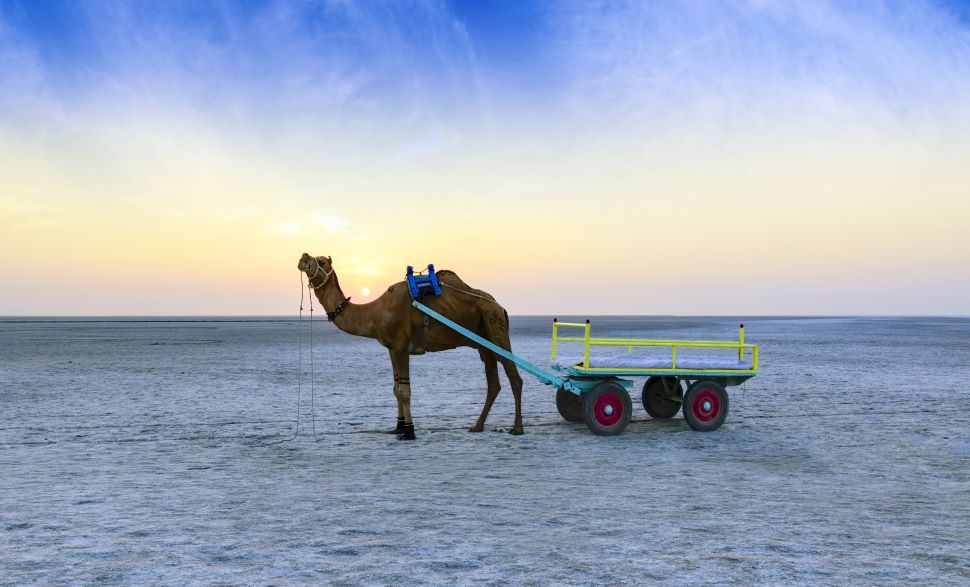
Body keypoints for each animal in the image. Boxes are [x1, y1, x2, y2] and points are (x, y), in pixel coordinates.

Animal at [296, 253, 524, 440]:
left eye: (321, 262)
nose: (303, 256)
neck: (374, 312)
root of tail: (499, 305)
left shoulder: (401, 346)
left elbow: (404, 390)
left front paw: (409, 431)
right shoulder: (391, 348)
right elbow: (395, 388)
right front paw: (398, 427)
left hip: (495, 326)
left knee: (514, 376)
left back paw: (517, 428)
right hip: (483, 340)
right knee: (493, 382)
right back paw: (477, 426)